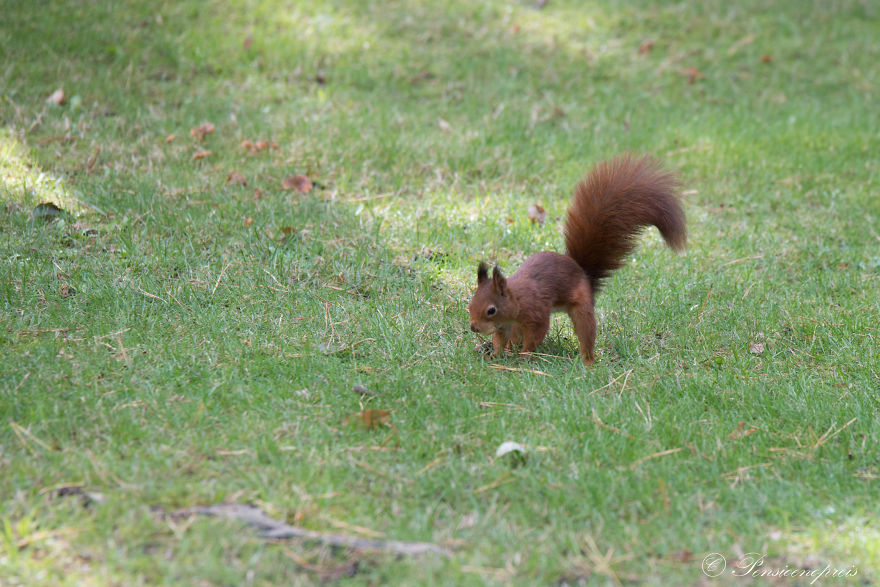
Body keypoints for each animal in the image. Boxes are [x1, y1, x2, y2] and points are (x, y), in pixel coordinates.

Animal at [467, 154, 686, 365]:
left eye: (491, 310)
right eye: (471, 303)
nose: (474, 328)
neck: (516, 300)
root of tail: (582, 272)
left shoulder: (535, 313)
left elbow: (535, 335)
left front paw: (525, 357)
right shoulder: (504, 325)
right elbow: (500, 339)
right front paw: (496, 355)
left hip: (581, 306)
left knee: (585, 330)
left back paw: (587, 360)